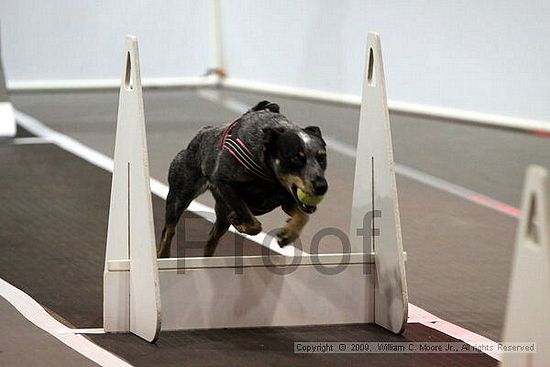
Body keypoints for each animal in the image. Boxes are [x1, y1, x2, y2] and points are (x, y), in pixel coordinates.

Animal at [156, 100, 328, 258]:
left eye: (322, 157)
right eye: (295, 158)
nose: (321, 186)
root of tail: (201, 134)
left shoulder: (286, 200)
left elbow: (303, 217)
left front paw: (287, 235)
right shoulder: (224, 182)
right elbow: (253, 223)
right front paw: (240, 222)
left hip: (220, 219)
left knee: (211, 240)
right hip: (179, 197)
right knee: (168, 231)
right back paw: (163, 255)